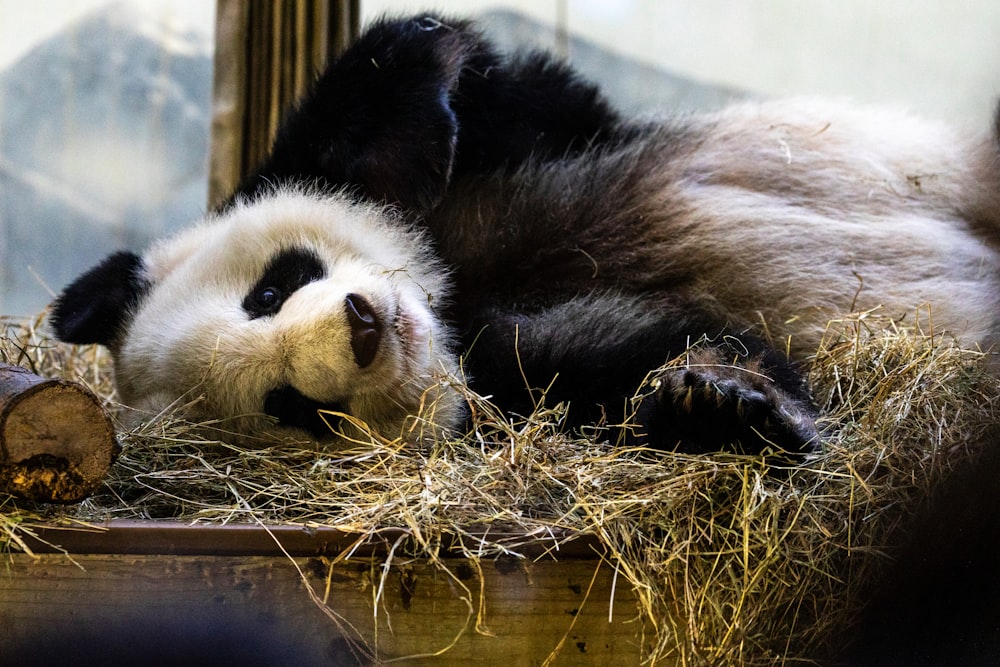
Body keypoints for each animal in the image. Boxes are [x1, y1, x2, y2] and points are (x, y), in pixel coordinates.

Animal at [48, 13, 1000, 456]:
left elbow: (454, 81)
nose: (364, 327)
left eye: (270, 289)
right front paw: (723, 403)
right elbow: (631, 359)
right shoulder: (506, 382)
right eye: (290, 406)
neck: (452, 298)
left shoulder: (518, 137)